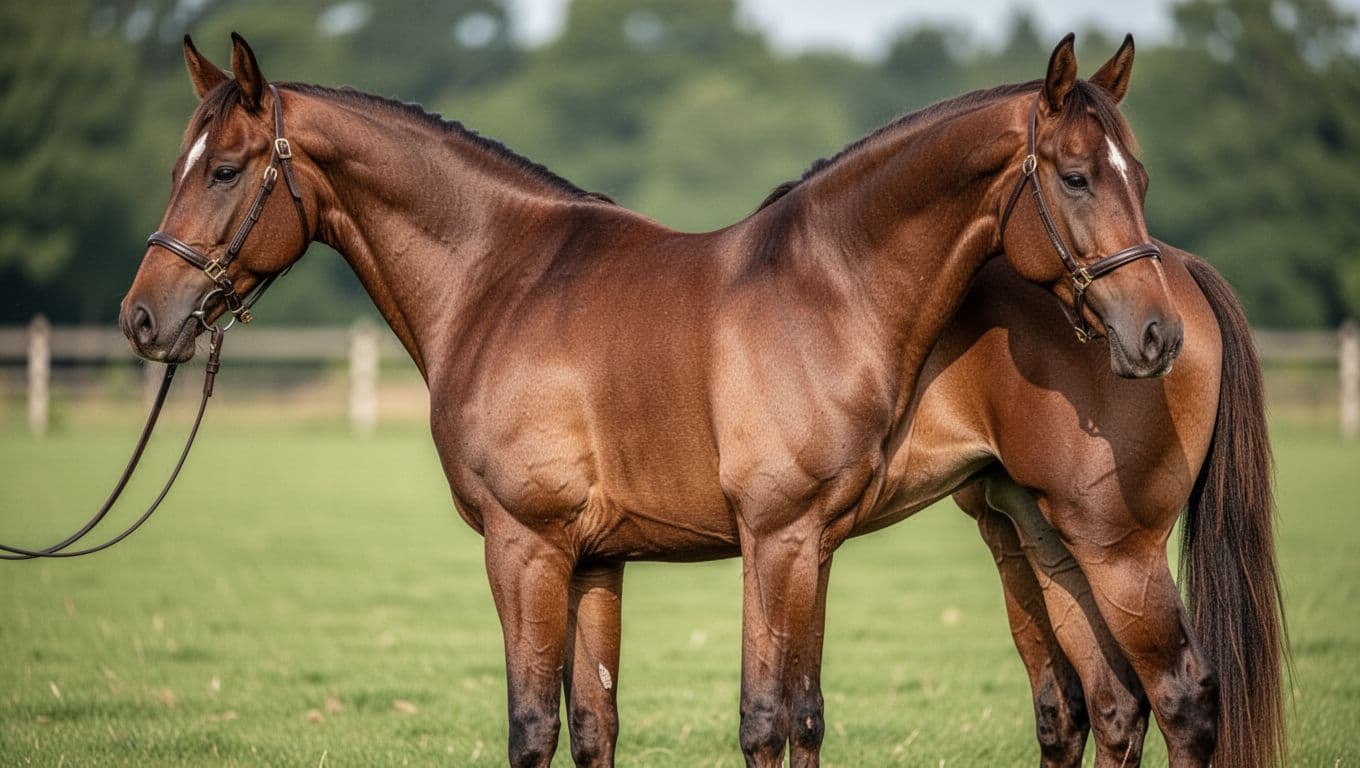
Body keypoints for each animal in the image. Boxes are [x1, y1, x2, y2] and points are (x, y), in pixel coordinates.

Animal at [121, 33, 1182, 767]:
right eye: (1081, 177)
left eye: (224, 169)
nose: (143, 317)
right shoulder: (607, 554)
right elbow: (606, 723)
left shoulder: (669, 541)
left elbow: (735, 720)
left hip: (1107, 544)